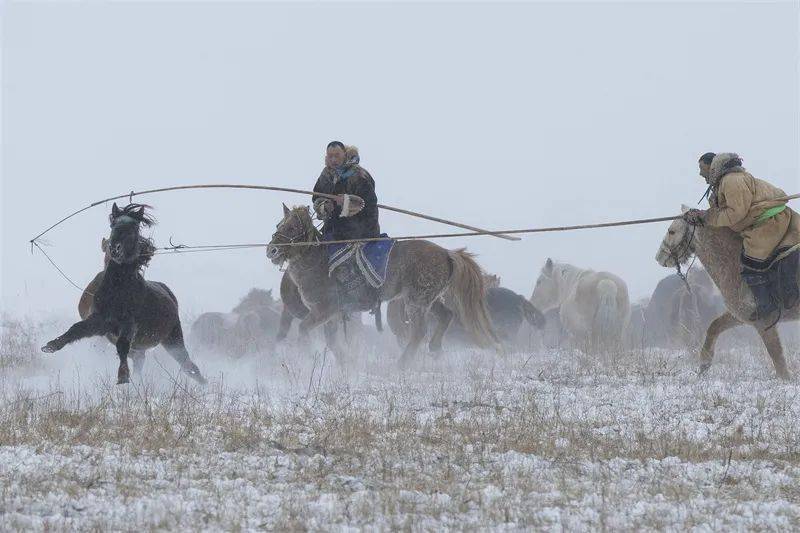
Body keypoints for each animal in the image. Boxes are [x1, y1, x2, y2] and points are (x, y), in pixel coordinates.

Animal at [41, 202, 206, 384]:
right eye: (113, 225)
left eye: (134, 227)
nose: (115, 248)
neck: (117, 292)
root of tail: (168, 292)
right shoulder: (100, 321)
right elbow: (76, 329)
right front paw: (51, 346)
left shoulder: (129, 324)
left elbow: (122, 345)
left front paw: (123, 376)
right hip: (145, 345)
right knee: (141, 360)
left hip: (172, 338)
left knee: (186, 362)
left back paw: (202, 382)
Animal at [266, 205, 496, 366]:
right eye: (279, 225)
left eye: (293, 227)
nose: (272, 251)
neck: (318, 260)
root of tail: (446, 254)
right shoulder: (330, 315)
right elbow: (332, 342)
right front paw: (346, 364)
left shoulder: (324, 310)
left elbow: (304, 330)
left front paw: (306, 356)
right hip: (427, 300)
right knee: (445, 315)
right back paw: (435, 349)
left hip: (416, 302)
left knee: (419, 331)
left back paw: (402, 364)